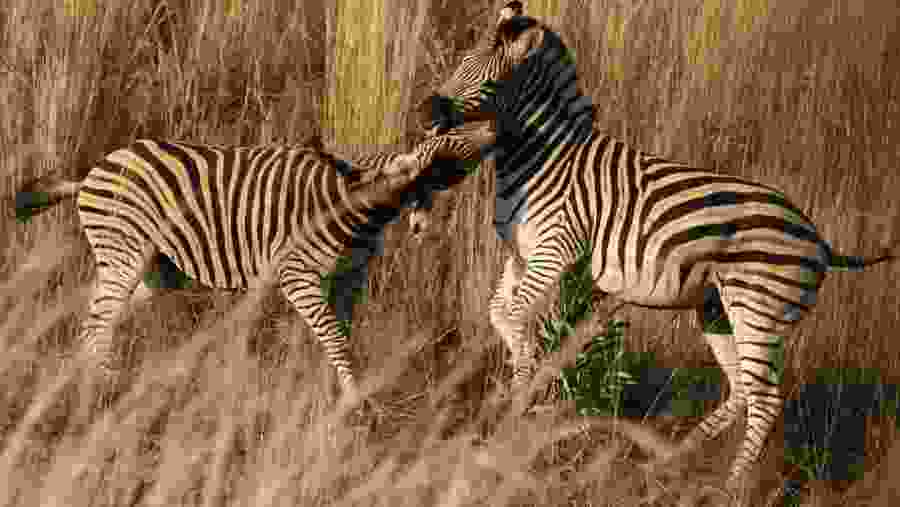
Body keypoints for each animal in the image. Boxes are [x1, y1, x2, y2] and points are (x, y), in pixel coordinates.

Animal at [13, 127, 490, 403]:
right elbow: (334, 337)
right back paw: (103, 389)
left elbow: (340, 336)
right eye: (448, 156)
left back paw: (86, 379)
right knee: (99, 320)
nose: (493, 126)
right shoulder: (298, 275)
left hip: (156, 268)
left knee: (96, 315)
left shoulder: (349, 278)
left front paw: (337, 395)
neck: (360, 208)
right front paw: (356, 404)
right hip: (125, 252)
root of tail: (92, 170)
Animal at [422, 1, 897, 491]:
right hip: (718, 308)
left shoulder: (557, 250)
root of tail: (819, 237)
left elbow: (516, 319)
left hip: (759, 308)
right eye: (461, 60)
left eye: (487, 76)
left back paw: (730, 489)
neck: (544, 157)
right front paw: (521, 397)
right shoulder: (521, 254)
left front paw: (521, 403)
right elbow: (500, 315)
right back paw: (670, 462)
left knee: (764, 400)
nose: (427, 109)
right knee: (742, 390)